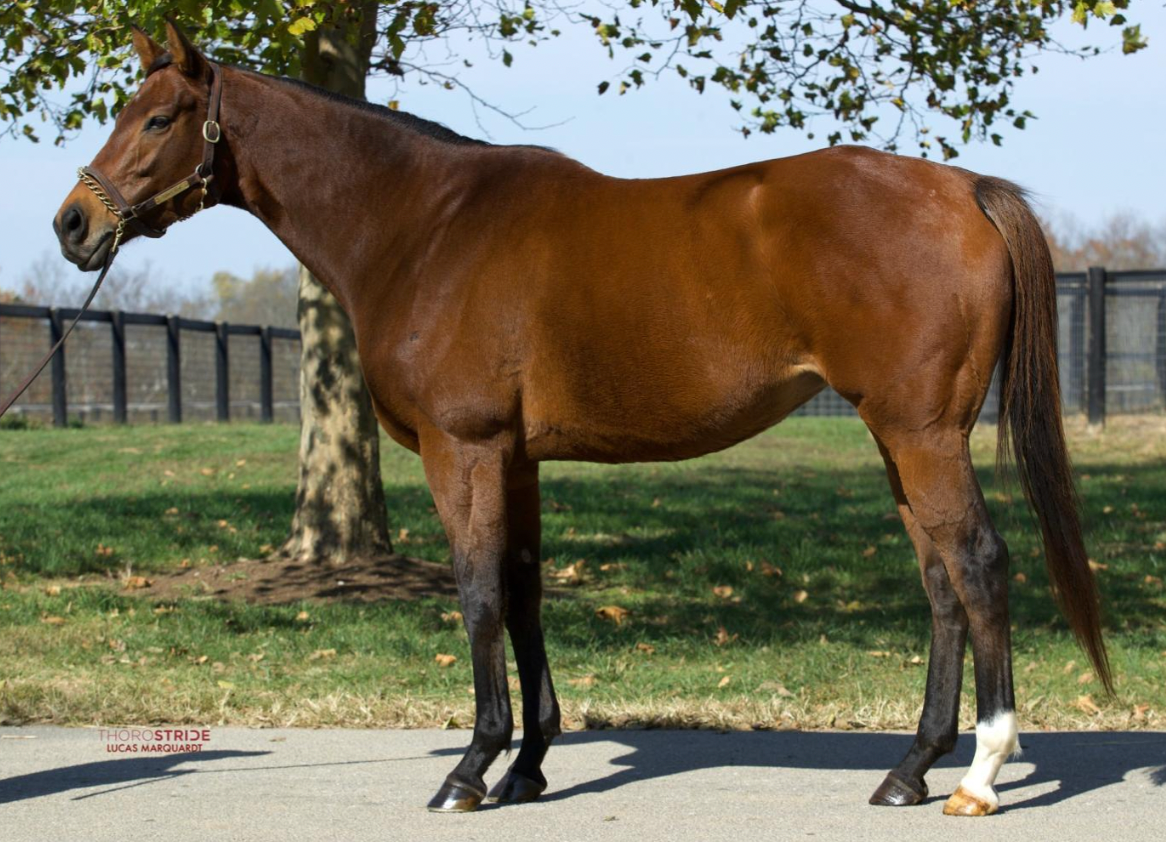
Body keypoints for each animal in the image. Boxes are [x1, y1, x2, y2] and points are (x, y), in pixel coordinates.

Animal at [54, 19, 1105, 816]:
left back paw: (980, 773)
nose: (73, 224)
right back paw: (909, 769)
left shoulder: (464, 450)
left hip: (923, 435)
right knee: (940, 583)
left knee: (977, 565)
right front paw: (527, 765)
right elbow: (522, 592)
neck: (425, 225)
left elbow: (477, 594)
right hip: (899, 439)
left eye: (157, 118)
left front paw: (470, 770)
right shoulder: (515, 458)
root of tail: (964, 189)